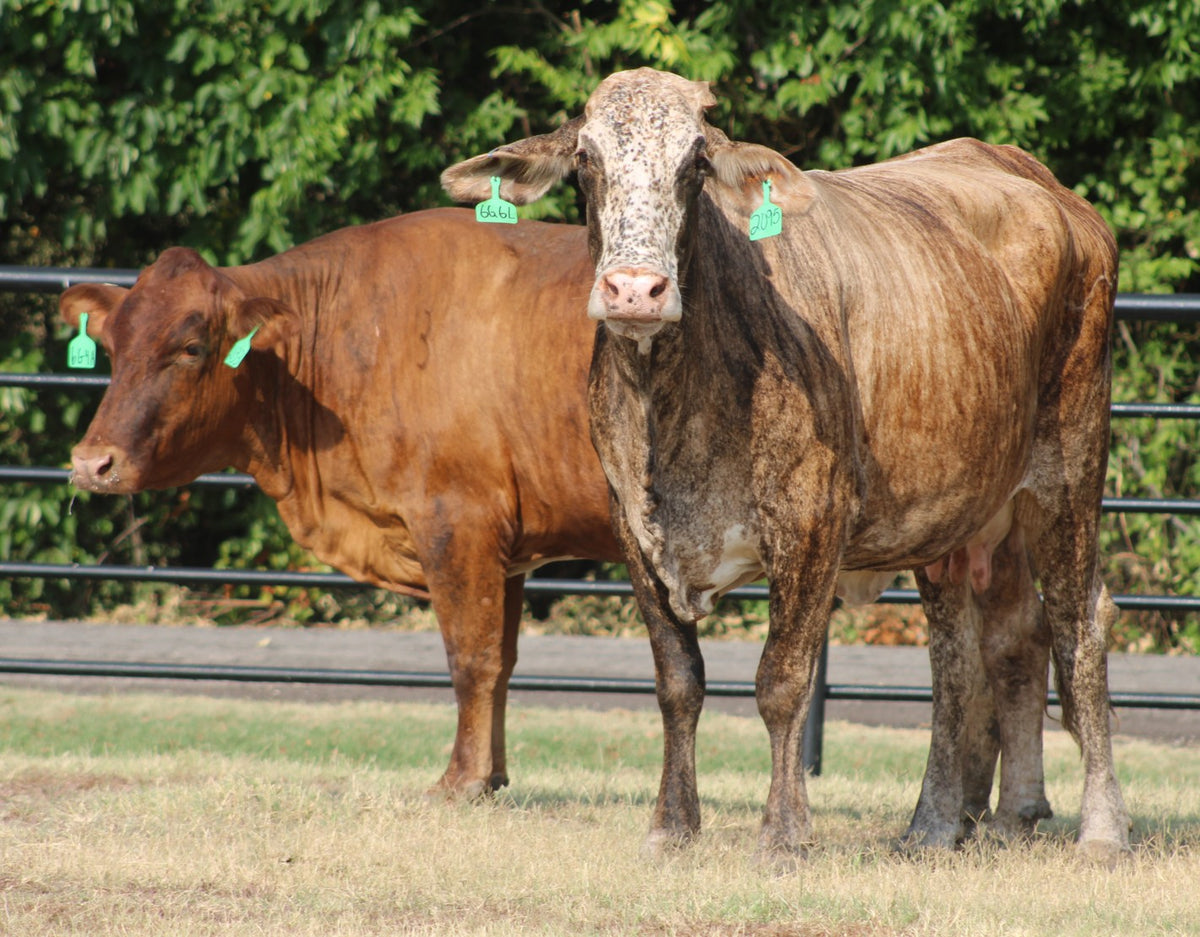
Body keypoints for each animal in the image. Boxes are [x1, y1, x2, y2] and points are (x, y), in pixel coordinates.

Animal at [61, 209, 621, 799]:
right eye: (112, 347)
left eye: (191, 347)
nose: (91, 462)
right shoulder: (506, 547)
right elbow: (504, 659)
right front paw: (490, 778)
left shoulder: (458, 520)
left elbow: (473, 658)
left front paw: (460, 781)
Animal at [442, 68, 1130, 864]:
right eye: (586, 161)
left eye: (694, 164)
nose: (635, 289)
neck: (672, 402)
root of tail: (1047, 187)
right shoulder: (633, 530)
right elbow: (678, 681)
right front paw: (671, 826)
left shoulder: (811, 522)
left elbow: (782, 681)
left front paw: (782, 835)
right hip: (955, 514)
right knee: (971, 648)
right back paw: (949, 819)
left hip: (1069, 469)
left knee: (1078, 622)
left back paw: (1101, 827)